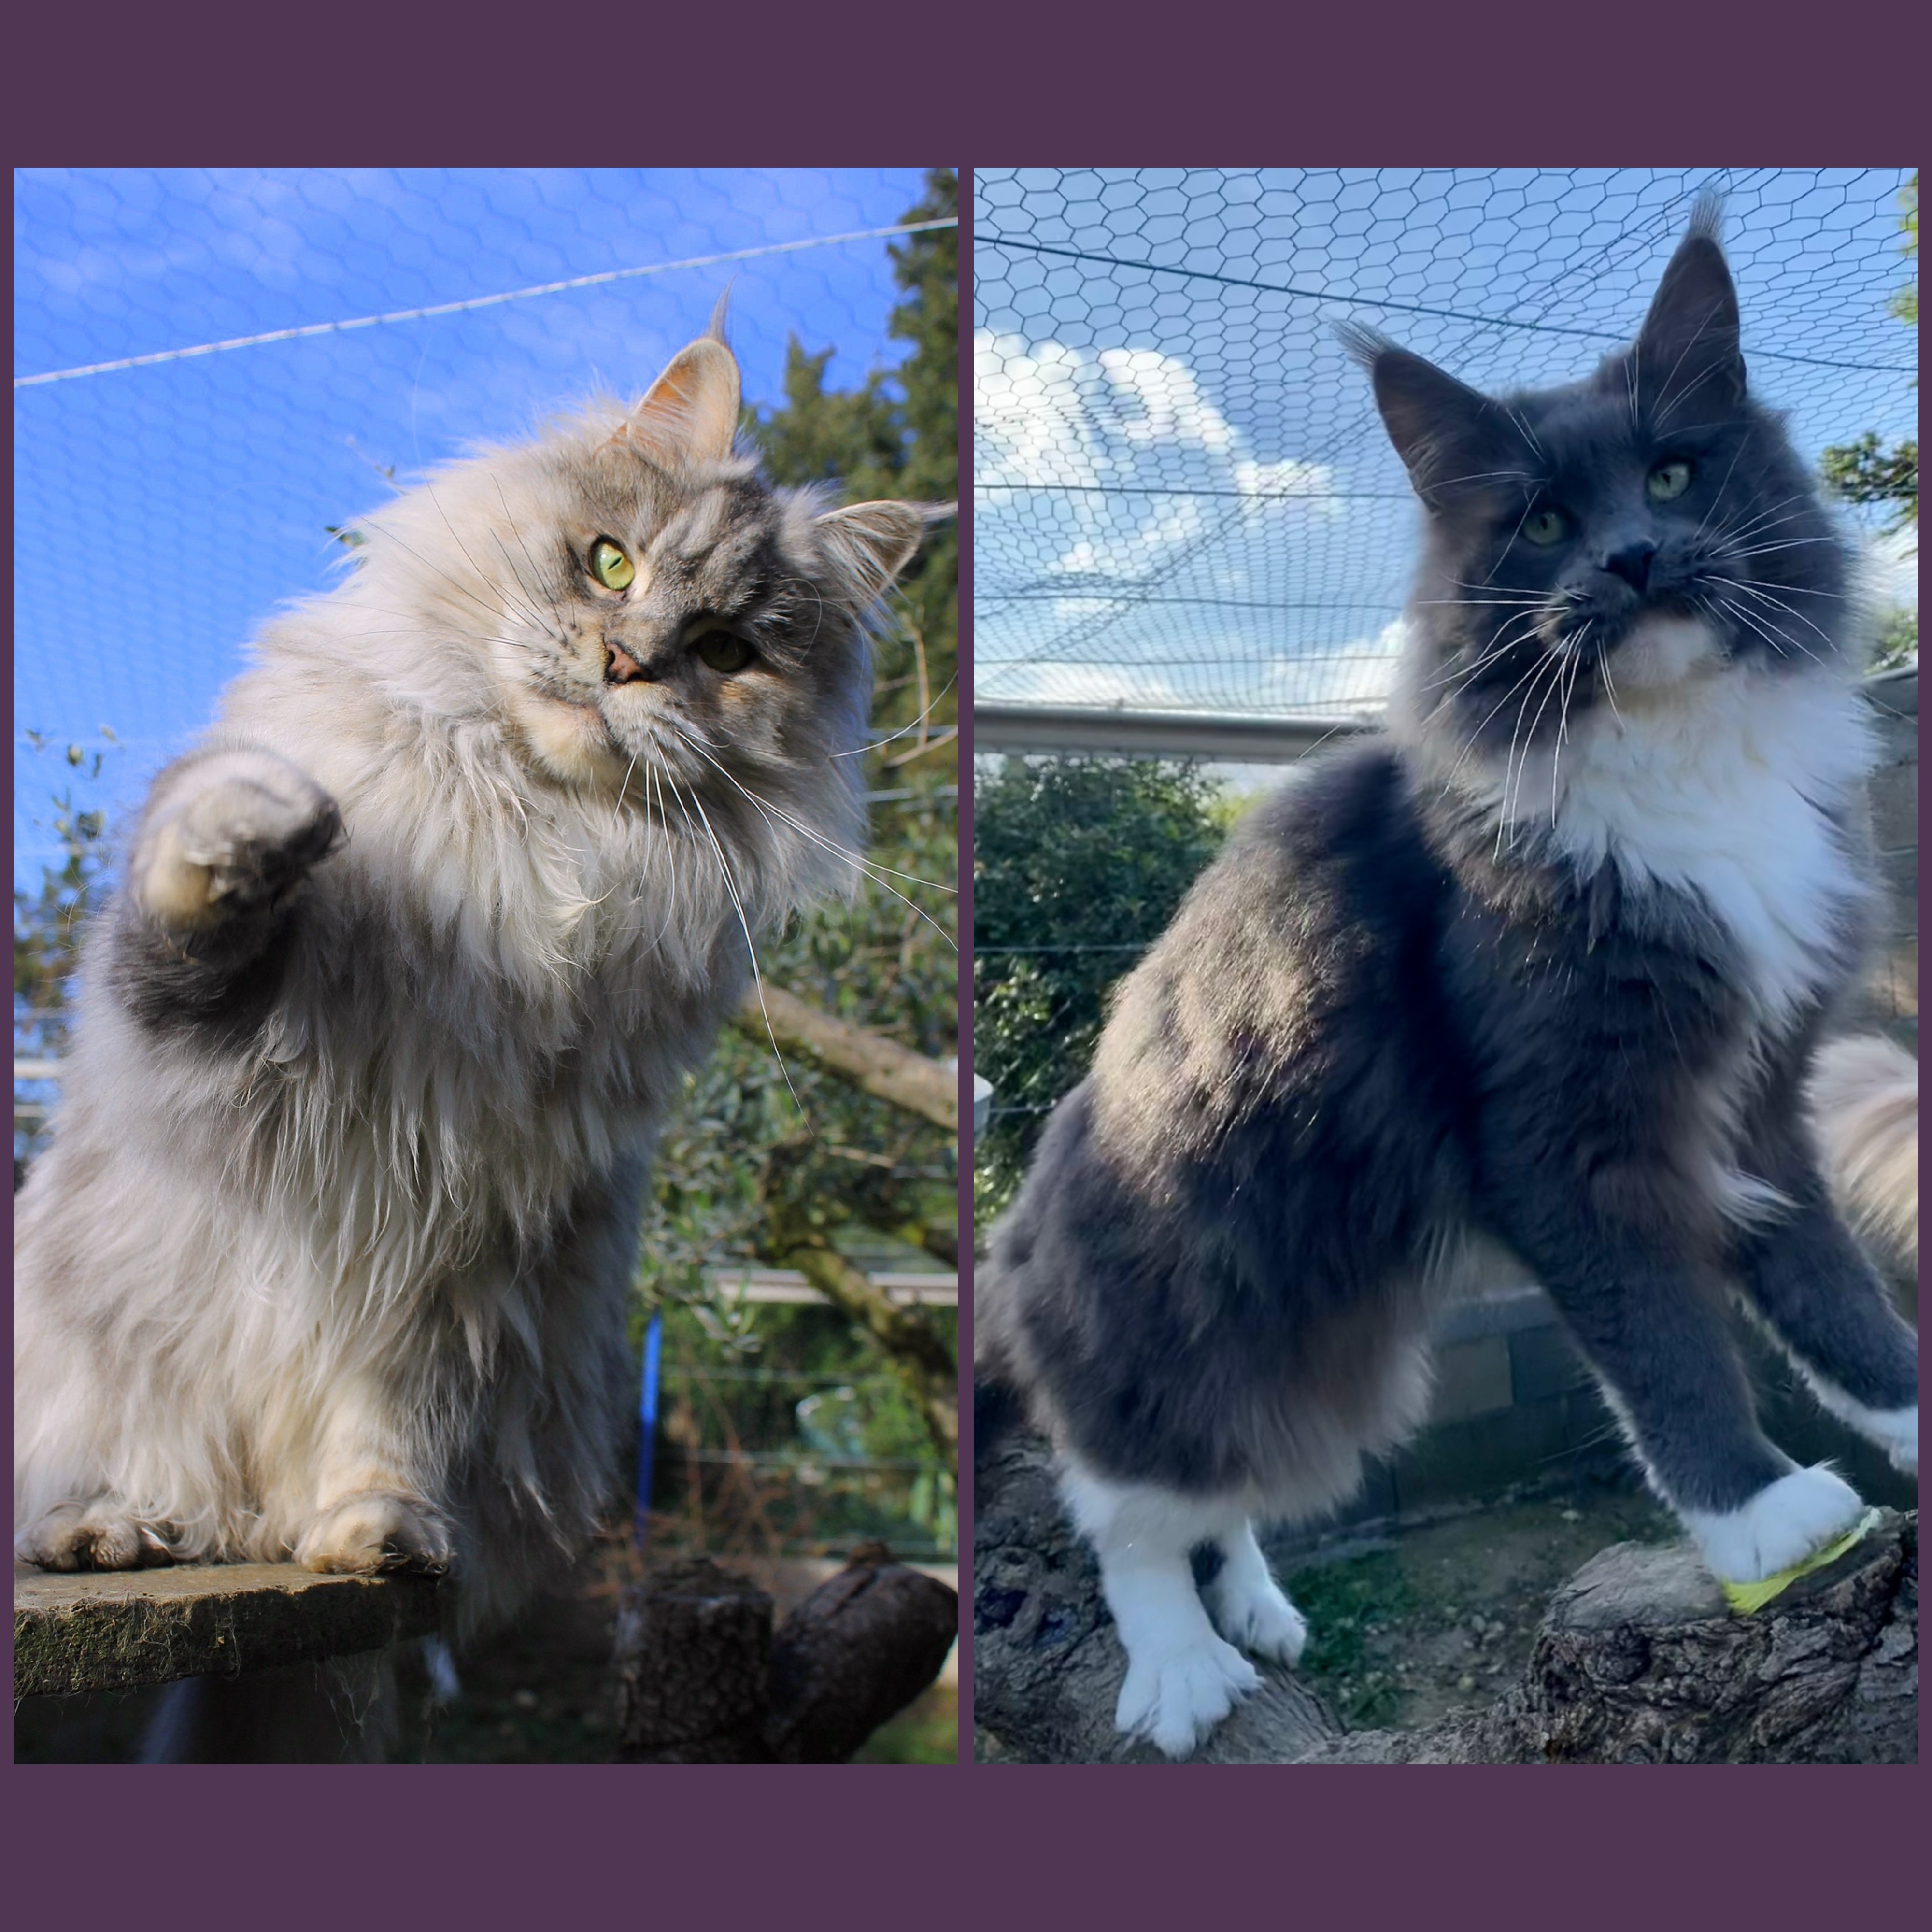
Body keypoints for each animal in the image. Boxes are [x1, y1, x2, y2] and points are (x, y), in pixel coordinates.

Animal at [13, 321, 951, 1646]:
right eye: (610, 563)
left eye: (726, 652)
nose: (625, 662)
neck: (530, 824)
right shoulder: (211, 1041)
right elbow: (197, 912)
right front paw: (260, 823)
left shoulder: (454, 1248)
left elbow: (391, 1419)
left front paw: (386, 1533)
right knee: (143, 1482)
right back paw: (110, 1526)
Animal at [981, 204, 1917, 1762]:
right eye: (1540, 523)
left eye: (1673, 471)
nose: (1635, 556)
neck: (1677, 762)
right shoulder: (1560, 1130)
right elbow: (1664, 1339)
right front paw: (1762, 1520)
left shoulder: (1756, 1100)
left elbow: (1830, 1291)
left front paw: (1907, 1421)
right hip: (1177, 1326)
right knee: (1126, 1503)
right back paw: (1180, 1666)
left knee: (1227, 1500)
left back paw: (1255, 1607)